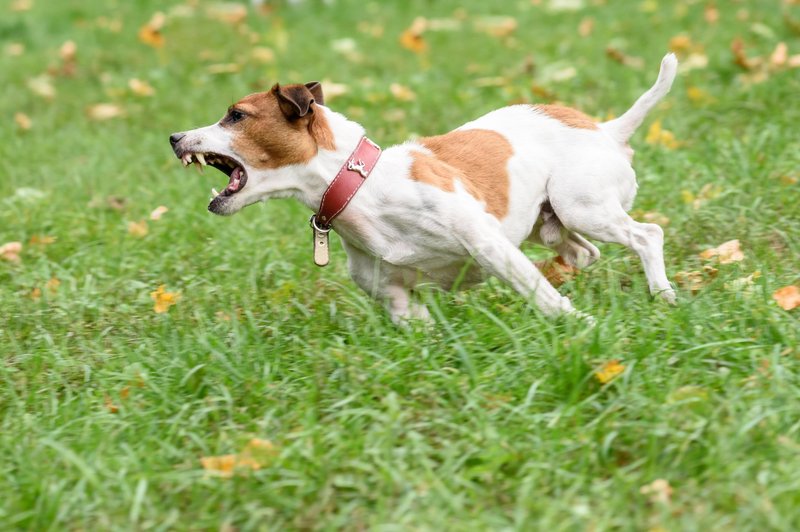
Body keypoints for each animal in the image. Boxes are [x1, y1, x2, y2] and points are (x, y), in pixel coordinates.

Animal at [172, 53, 680, 324]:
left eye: (236, 116)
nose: (175, 138)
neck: (360, 188)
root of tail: (606, 129)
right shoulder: (396, 299)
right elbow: (419, 325)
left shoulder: (488, 245)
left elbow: (541, 294)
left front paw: (581, 325)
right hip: (549, 225)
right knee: (583, 253)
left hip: (581, 206)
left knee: (646, 235)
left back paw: (663, 295)